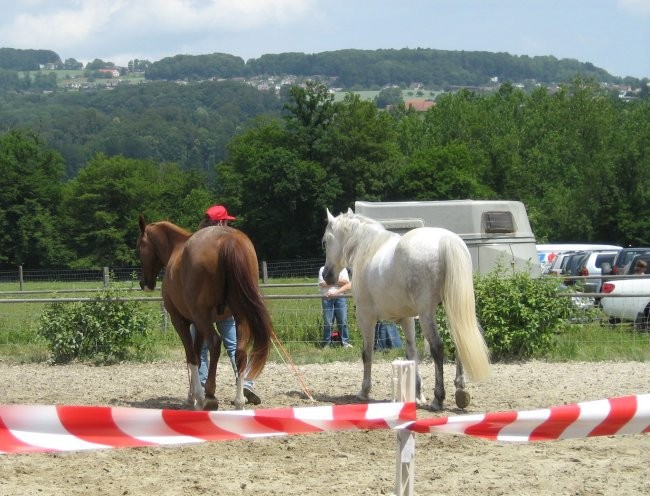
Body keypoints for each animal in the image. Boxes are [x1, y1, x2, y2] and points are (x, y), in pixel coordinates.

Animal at [136, 215, 270, 408]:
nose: (144, 284)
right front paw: (192, 395)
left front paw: (196, 396)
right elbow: (199, 357)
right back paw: (239, 401)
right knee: (239, 352)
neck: (177, 249)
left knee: (215, 343)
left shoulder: (181, 320)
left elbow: (191, 356)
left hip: (203, 317)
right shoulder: (198, 324)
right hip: (238, 317)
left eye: (139, 247)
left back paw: (209, 396)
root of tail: (228, 240)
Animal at [322, 209, 488, 410]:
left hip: (426, 315)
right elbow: (412, 354)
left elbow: (367, 354)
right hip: (452, 309)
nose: (326, 275)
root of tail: (446, 240)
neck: (368, 248)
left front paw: (364, 391)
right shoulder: (407, 319)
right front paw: (417, 394)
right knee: (459, 341)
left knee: (437, 348)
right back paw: (460, 390)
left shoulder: (366, 318)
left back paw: (438, 399)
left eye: (324, 242)